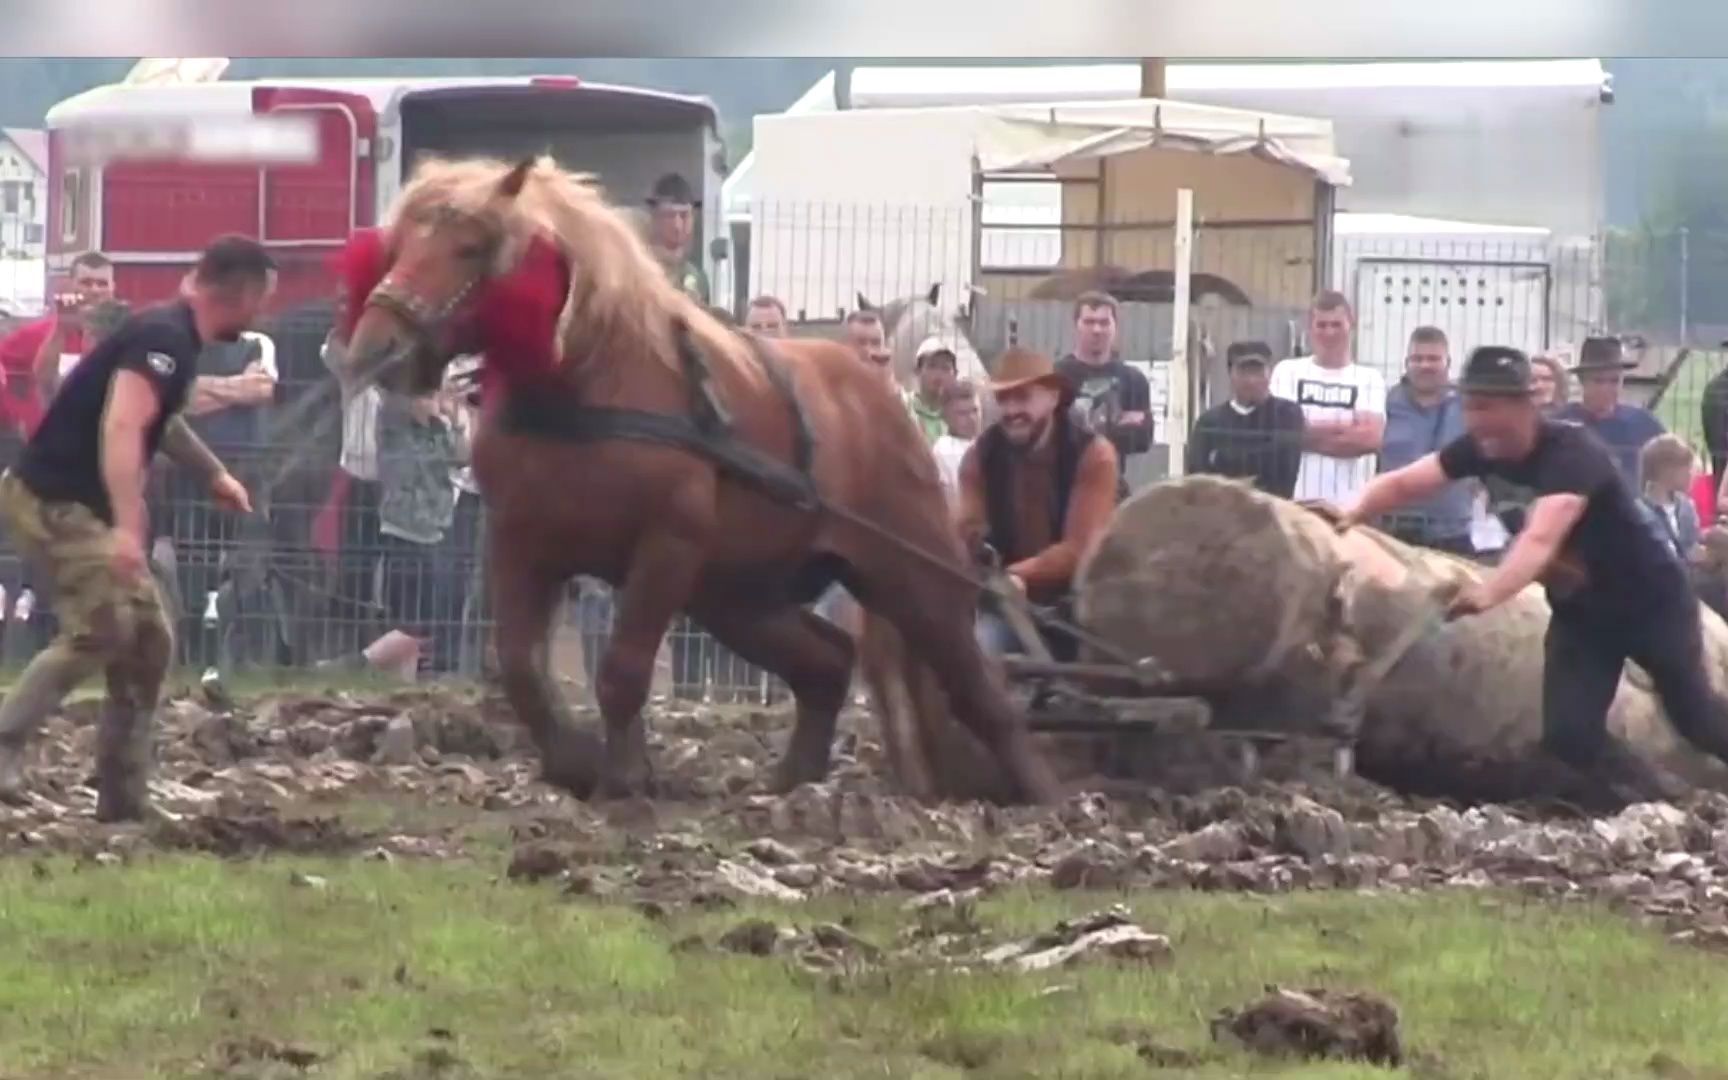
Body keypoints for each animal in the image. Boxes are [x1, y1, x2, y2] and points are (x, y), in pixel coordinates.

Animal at [335, 155, 1050, 805]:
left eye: (471, 246)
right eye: (400, 243)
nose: (374, 349)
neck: (585, 386)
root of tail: (879, 394)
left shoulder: (665, 547)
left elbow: (622, 670)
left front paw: (624, 779)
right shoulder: (519, 544)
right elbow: (519, 667)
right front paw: (574, 763)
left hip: (909, 573)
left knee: (977, 685)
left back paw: (1039, 797)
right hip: (734, 595)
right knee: (827, 663)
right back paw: (794, 781)